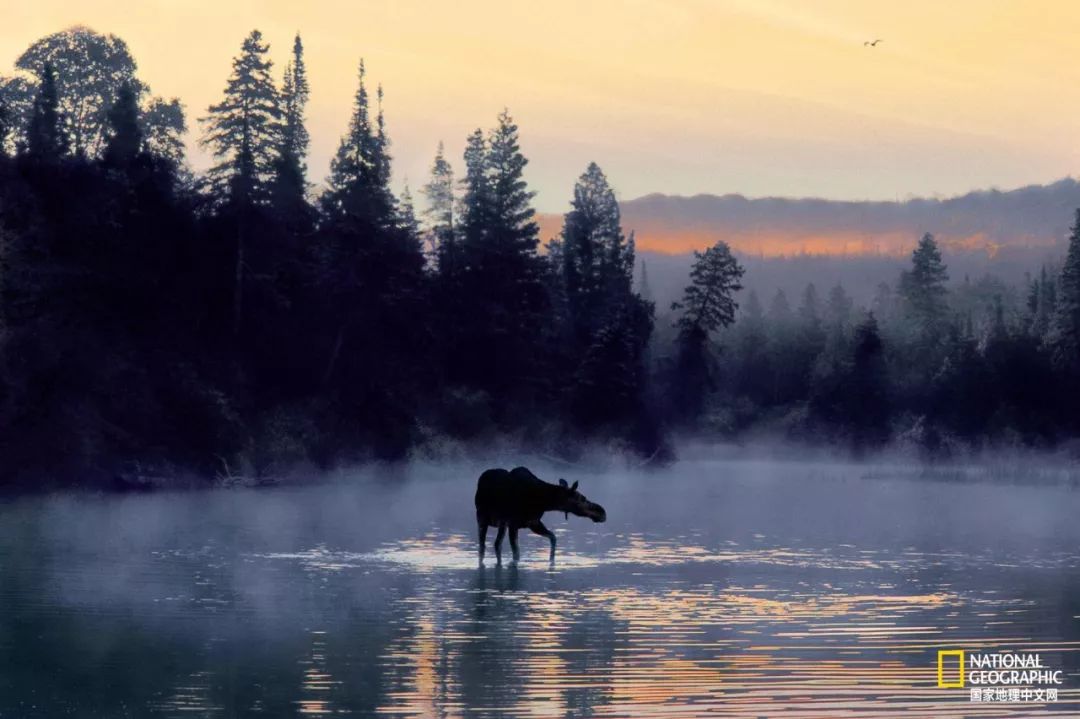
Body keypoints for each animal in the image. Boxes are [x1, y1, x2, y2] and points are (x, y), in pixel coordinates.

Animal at [475, 462, 609, 561]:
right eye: (582, 498)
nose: (602, 512)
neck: (543, 501)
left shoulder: (533, 522)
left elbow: (553, 538)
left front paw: (551, 560)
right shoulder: (513, 524)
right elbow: (516, 553)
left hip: (501, 524)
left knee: (497, 544)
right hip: (482, 518)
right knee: (483, 545)